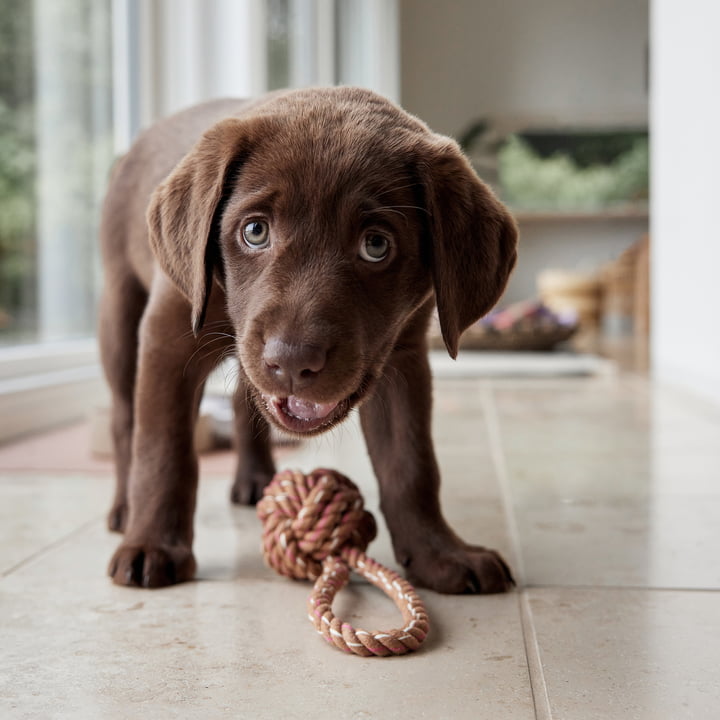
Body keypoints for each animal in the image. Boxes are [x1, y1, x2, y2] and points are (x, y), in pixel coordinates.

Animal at [101, 88, 516, 596]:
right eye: (255, 231)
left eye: (376, 245)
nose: (293, 363)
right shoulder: (167, 335)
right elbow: (161, 449)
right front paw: (153, 545)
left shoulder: (402, 358)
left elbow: (411, 463)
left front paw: (440, 553)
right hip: (120, 312)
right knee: (125, 418)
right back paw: (125, 510)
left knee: (243, 399)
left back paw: (255, 478)